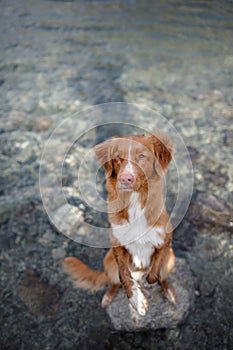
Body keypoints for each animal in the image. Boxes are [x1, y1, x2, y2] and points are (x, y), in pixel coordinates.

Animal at [62, 130, 176, 316]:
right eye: (117, 157)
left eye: (142, 156)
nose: (125, 179)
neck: (135, 203)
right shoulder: (117, 243)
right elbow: (124, 275)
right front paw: (137, 300)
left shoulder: (165, 239)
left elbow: (155, 271)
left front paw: (147, 281)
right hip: (108, 261)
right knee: (114, 282)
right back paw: (109, 296)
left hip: (171, 259)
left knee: (163, 277)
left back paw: (168, 291)